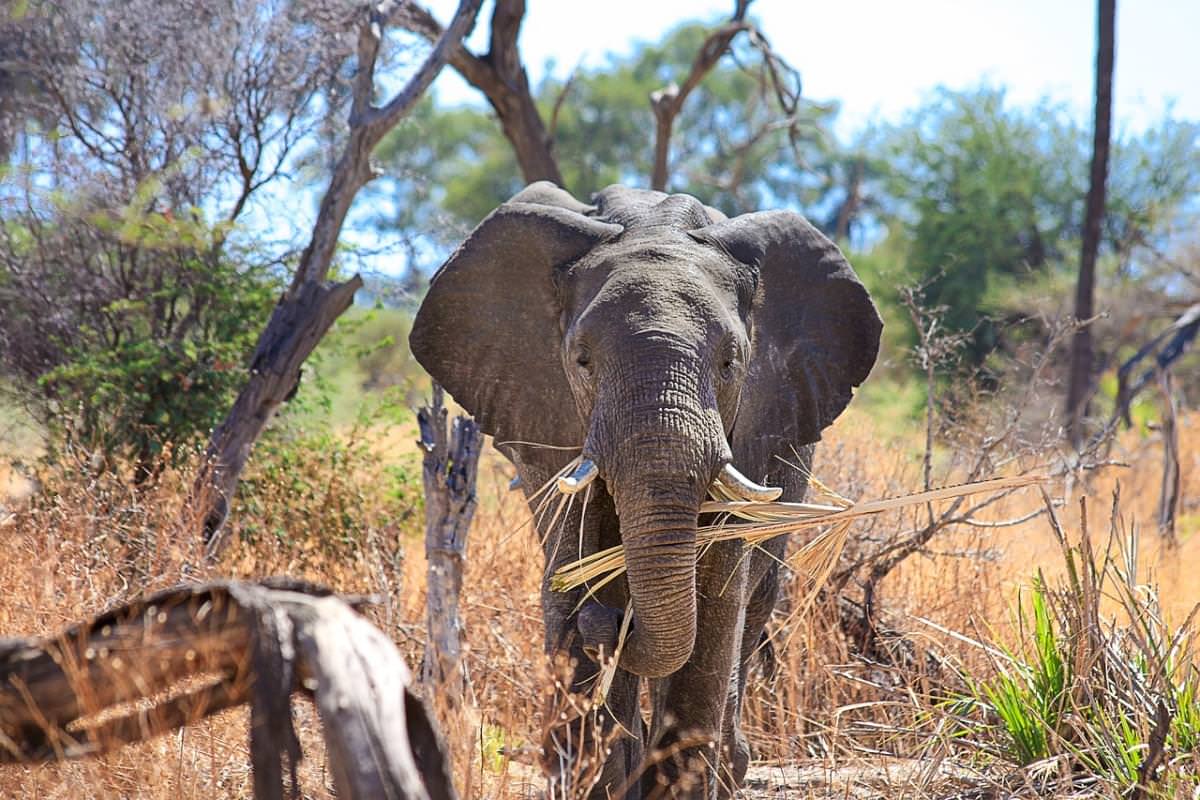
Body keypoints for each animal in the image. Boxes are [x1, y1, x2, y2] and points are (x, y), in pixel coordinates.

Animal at [412, 183, 883, 800]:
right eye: (582, 361)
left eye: (730, 362)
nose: (614, 623)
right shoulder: (552, 420)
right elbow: (573, 567)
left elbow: (716, 597)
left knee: (753, 603)